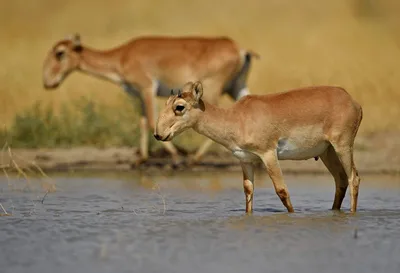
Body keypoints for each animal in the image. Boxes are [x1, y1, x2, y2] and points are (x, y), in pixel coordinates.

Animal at [41, 34, 260, 166]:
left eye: (60, 52)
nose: (47, 82)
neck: (122, 56)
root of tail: (241, 50)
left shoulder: (147, 89)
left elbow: (150, 120)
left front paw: (175, 156)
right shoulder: (137, 95)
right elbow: (143, 121)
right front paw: (141, 159)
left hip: (213, 90)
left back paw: (194, 158)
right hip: (237, 87)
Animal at [155, 81, 364, 212]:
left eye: (179, 106)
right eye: (165, 104)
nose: (158, 134)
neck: (236, 118)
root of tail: (353, 101)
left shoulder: (268, 155)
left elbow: (282, 190)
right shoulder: (246, 160)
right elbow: (248, 190)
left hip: (343, 147)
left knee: (353, 178)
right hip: (327, 152)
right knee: (341, 181)